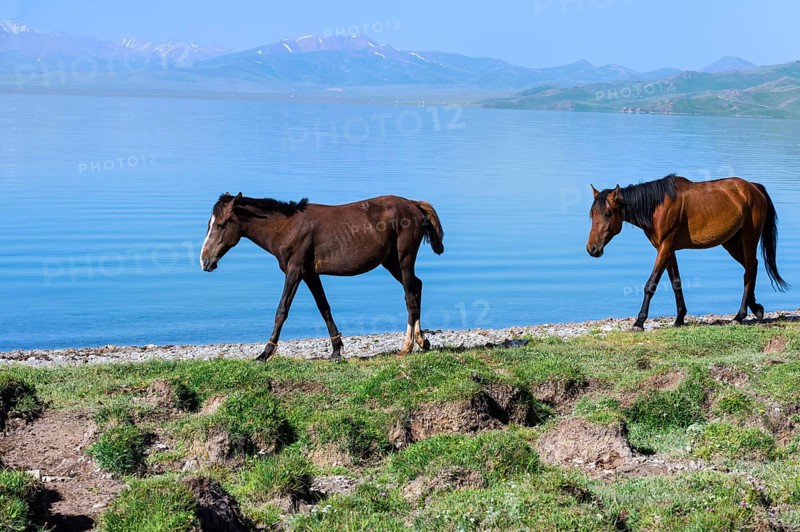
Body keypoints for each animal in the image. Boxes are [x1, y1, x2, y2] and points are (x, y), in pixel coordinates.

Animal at [200, 193, 445, 361]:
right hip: (390, 261)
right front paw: (336, 350)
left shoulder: (295, 271)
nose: (205, 261)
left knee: (409, 295)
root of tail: (414, 204)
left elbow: (282, 310)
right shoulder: (310, 274)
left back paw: (407, 346)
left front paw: (265, 353)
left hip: (404, 259)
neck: (286, 228)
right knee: (417, 286)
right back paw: (422, 340)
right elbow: (324, 307)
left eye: (221, 224)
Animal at [587, 174, 788, 331]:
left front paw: (639, 322)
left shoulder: (665, 248)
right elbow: (676, 283)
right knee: (751, 267)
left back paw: (739, 315)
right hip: (730, 243)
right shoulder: (668, 250)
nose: (592, 248)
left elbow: (651, 285)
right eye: (591, 215)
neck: (657, 206)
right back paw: (756, 309)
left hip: (748, 239)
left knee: (749, 269)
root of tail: (753, 188)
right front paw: (679, 318)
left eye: (607, 214)